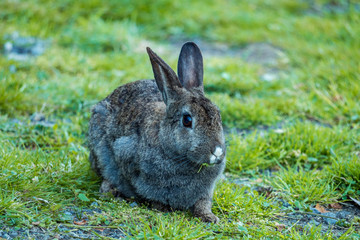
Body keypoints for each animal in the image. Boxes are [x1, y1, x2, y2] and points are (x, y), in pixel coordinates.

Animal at [88, 41, 225, 223]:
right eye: (187, 120)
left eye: (218, 114)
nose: (217, 151)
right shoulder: (125, 153)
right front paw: (161, 207)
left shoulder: (206, 192)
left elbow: (203, 203)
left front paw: (209, 217)